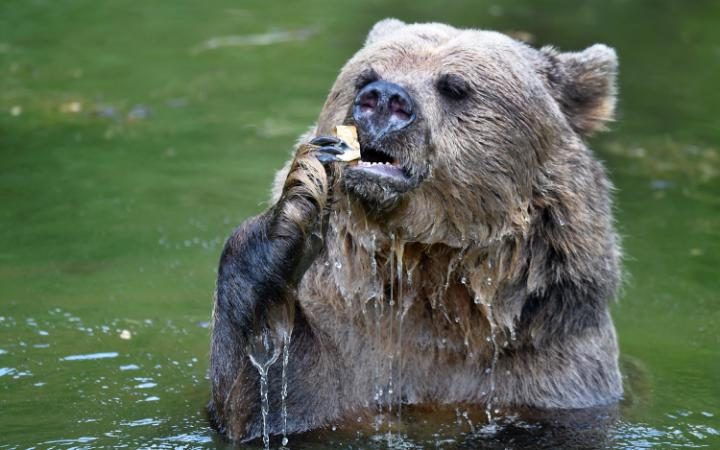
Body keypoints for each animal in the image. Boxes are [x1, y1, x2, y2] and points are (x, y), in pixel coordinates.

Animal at [207, 18, 620, 442]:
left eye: (454, 86)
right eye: (365, 77)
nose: (384, 98)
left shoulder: (549, 366)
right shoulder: (347, 349)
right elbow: (271, 399)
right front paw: (301, 194)